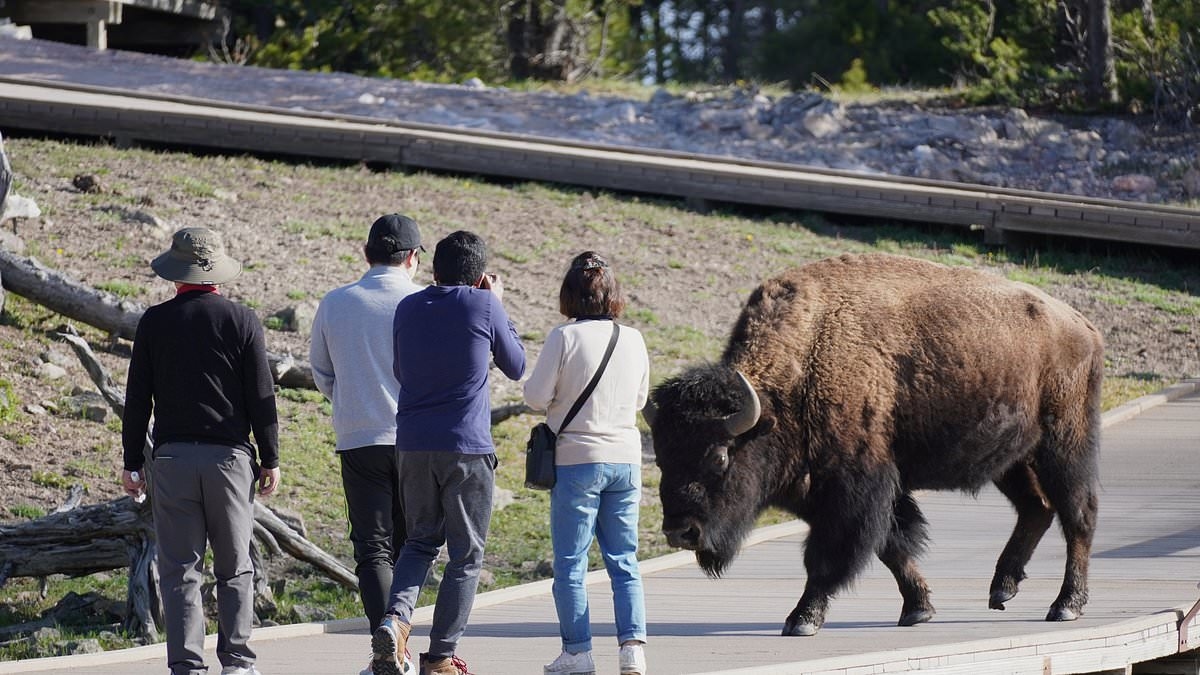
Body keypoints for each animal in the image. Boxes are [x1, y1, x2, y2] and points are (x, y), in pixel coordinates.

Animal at [652, 252, 1099, 634]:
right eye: (661, 459)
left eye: (719, 457)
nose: (680, 532)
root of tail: (1082, 325)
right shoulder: (848, 491)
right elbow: (892, 546)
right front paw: (918, 609)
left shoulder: (854, 490)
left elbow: (829, 556)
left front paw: (802, 619)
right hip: (1011, 459)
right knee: (1037, 508)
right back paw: (1002, 589)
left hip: (1063, 445)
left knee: (1078, 515)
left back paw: (1065, 606)